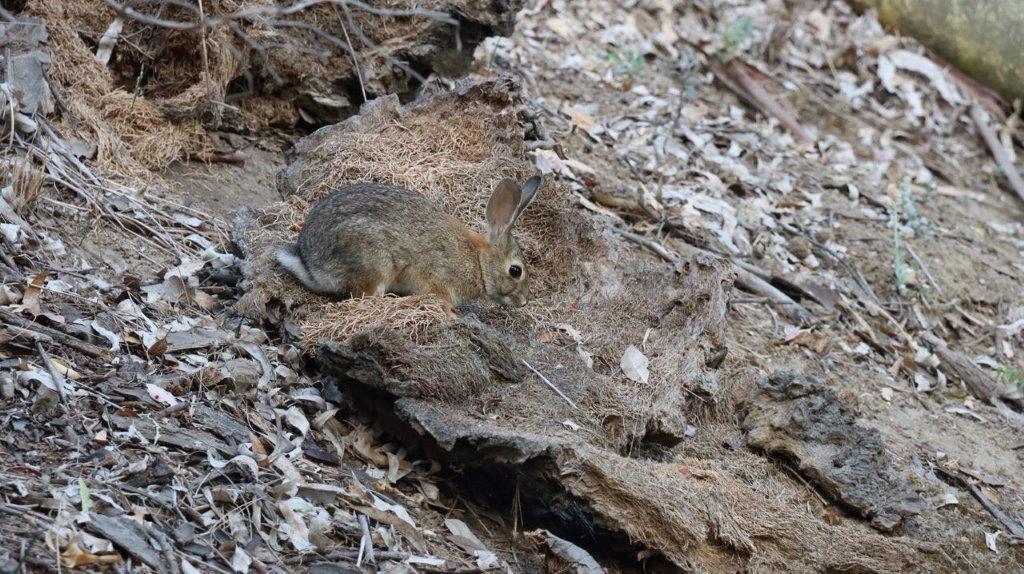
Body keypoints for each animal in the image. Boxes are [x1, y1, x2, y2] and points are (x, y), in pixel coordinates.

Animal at [272, 174, 544, 308]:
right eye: (515, 271)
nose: (524, 302)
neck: (478, 262)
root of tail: (312, 267)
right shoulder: (436, 276)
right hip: (374, 262)